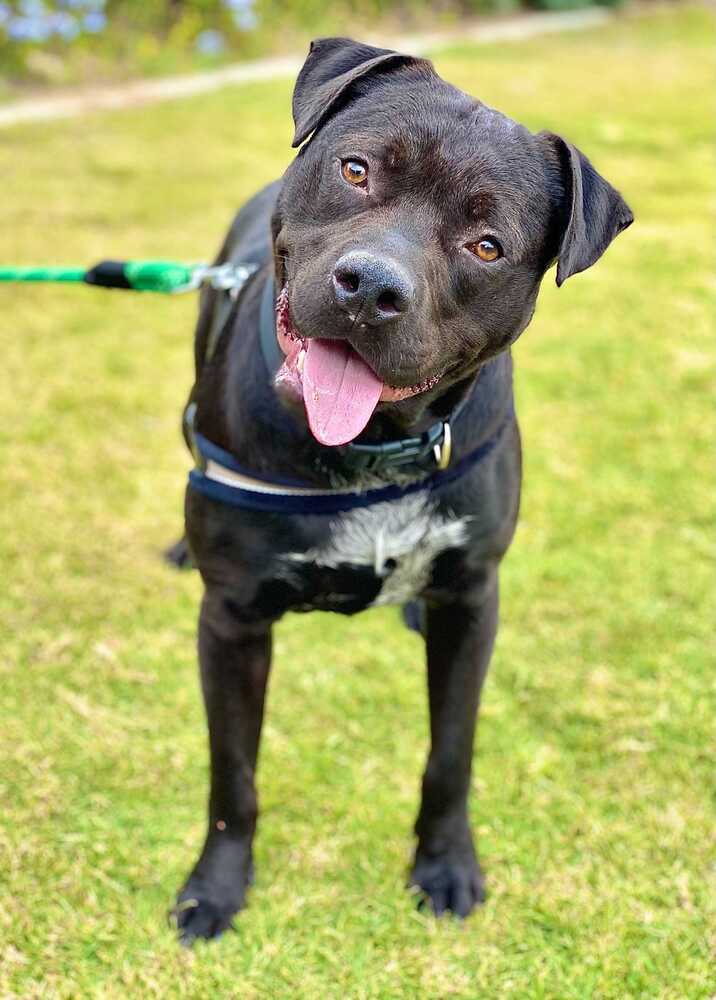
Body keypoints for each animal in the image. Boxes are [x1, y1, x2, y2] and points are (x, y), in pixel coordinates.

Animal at [172, 41, 632, 944]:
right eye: (357, 170)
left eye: (487, 246)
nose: (371, 287)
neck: (367, 451)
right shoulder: (232, 620)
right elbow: (232, 774)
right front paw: (217, 888)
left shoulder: (472, 605)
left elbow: (450, 754)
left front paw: (445, 865)